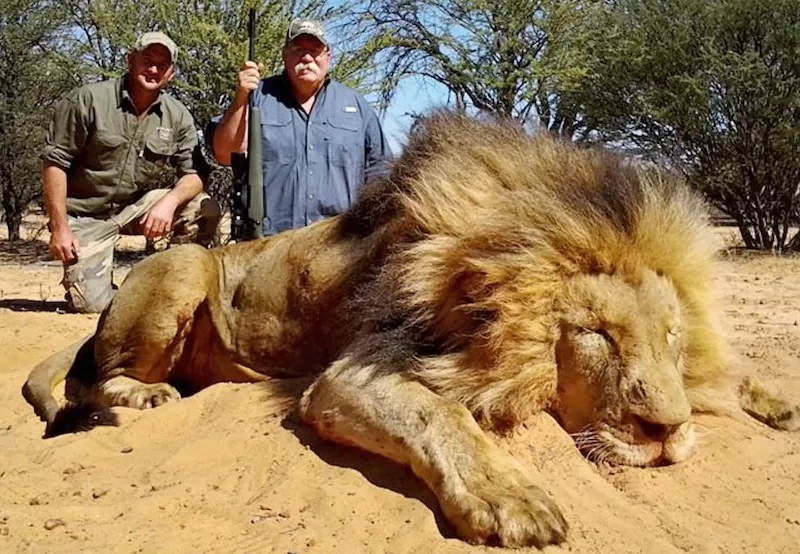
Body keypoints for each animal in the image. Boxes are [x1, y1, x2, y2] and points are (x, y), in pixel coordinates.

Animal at [22, 112, 798, 548]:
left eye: (670, 336)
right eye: (595, 335)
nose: (666, 432)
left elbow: (732, 376)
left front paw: (773, 400)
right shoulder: (350, 374)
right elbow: (440, 415)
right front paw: (512, 500)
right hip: (181, 263)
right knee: (92, 380)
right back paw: (145, 395)